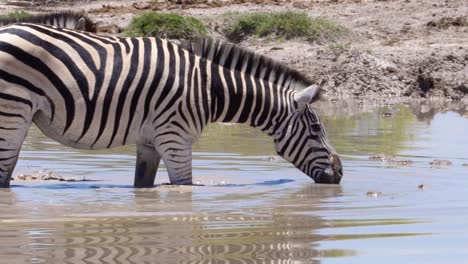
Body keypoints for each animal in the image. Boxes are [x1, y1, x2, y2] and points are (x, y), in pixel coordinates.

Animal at [0, 22, 344, 189]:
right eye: (316, 130)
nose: (340, 174)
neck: (211, 90)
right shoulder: (175, 137)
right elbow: (184, 188)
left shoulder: (151, 141)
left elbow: (143, 186)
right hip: (13, 111)